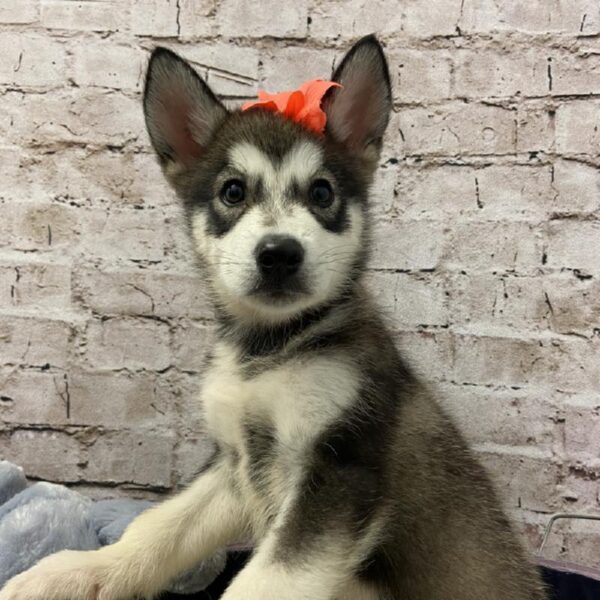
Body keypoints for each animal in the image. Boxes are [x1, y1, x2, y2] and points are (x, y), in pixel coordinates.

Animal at [0, 36, 548, 600]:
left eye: (322, 192)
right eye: (233, 191)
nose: (279, 254)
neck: (267, 350)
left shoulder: (339, 471)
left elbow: (268, 577)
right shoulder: (235, 464)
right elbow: (157, 528)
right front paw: (79, 572)